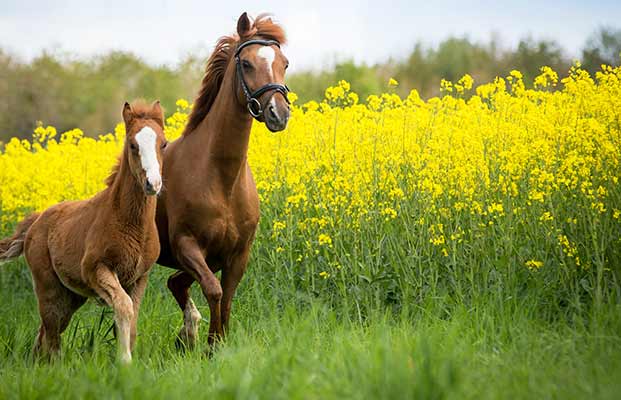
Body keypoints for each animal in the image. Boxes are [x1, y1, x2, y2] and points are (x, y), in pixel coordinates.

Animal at [0, 101, 167, 362]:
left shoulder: (140, 277)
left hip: (70, 296)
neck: (131, 224)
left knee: (44, 335)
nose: (153, 184)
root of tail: (37, 220)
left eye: (164, 144)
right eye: (133, 144)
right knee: (52, 336)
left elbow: (132, 319)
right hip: (49, 289)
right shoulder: (95, 268)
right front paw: (124, 361)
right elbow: (123, 306)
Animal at [155, 13, 290, 350]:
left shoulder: (237, 254)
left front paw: (218, 344)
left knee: (175, 282)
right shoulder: (187, 245)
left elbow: (227, 297)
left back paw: (186, 335)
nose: (278, 114)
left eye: (284, 63)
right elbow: (214, 291)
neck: (221, 179)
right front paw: (211, 344)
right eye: (247, 64)